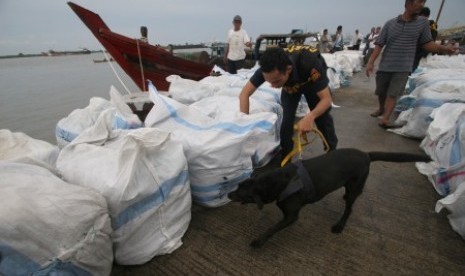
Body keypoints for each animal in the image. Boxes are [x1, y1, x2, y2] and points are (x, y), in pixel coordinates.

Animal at [227, 149, 430, 248]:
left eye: (240, 193)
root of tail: (366, 155)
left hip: (356, 185)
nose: (228, 194)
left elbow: (272, 229)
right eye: (237, 187)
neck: (277, 182)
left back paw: (339, 225)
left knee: (349, 208)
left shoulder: (291, 216)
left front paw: (259, 241)